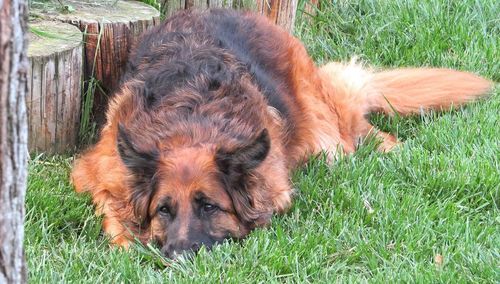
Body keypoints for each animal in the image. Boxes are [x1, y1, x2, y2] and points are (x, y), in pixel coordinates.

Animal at [70, 8, 492, 258]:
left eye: (210, 207)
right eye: (163, 210)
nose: (178, 255)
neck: (189, 126)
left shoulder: (276, 185)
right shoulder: (96, 170)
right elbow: (112, 209)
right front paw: (128, 241)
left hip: (326, 133)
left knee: (355, 130)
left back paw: (393, 148)